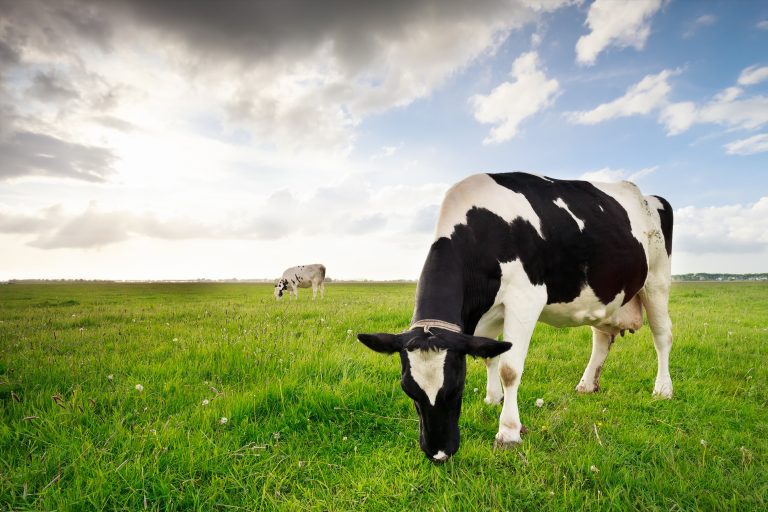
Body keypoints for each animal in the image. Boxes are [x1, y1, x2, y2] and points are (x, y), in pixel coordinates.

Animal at [356, 173, 672, 464]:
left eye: (457, 387)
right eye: (407, 389)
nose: (438, 454)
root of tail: (648, 196)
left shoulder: (525, 299)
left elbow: (509, 368)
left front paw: (508, 432)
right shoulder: (488, 313)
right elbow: (490, 355)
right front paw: (492, 399)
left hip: (657, 280)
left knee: (662, 336)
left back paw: (663, 390)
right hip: (605, 296)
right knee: (602, 338)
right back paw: (586, 385)